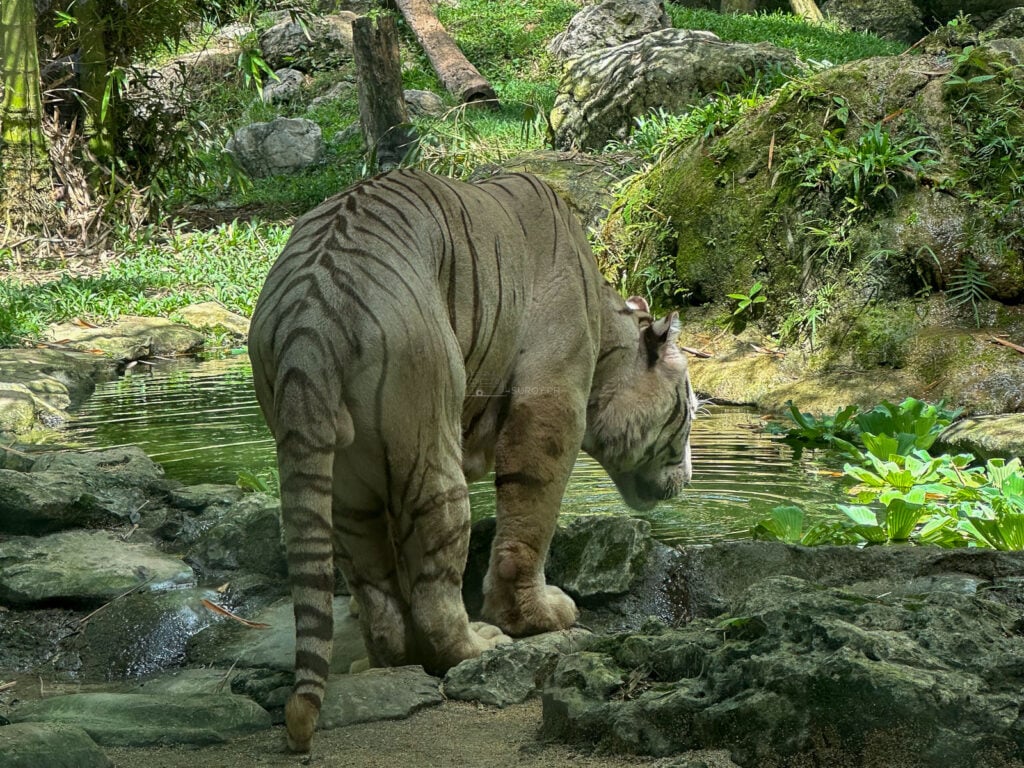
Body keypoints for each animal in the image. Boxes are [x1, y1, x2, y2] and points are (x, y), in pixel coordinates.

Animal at [248, 168, 697, 753]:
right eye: (690, 407)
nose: (689, 476)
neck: (607, 330)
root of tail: (309, 314)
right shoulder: (553, 399)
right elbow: (530, 518)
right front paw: (537, 616)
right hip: (426, 436)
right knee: (439, 576)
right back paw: (480, 645)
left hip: (342, 474)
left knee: (369, 570)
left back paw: (384, 655)